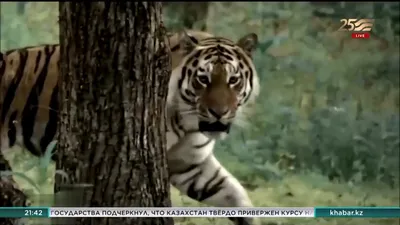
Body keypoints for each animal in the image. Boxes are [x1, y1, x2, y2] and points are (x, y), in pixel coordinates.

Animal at [0, 30, 260, 225]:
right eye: (203, 79)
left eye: (233, 80)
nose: (219, 112)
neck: (189, 124)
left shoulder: (191, 165)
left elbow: (233, 194)